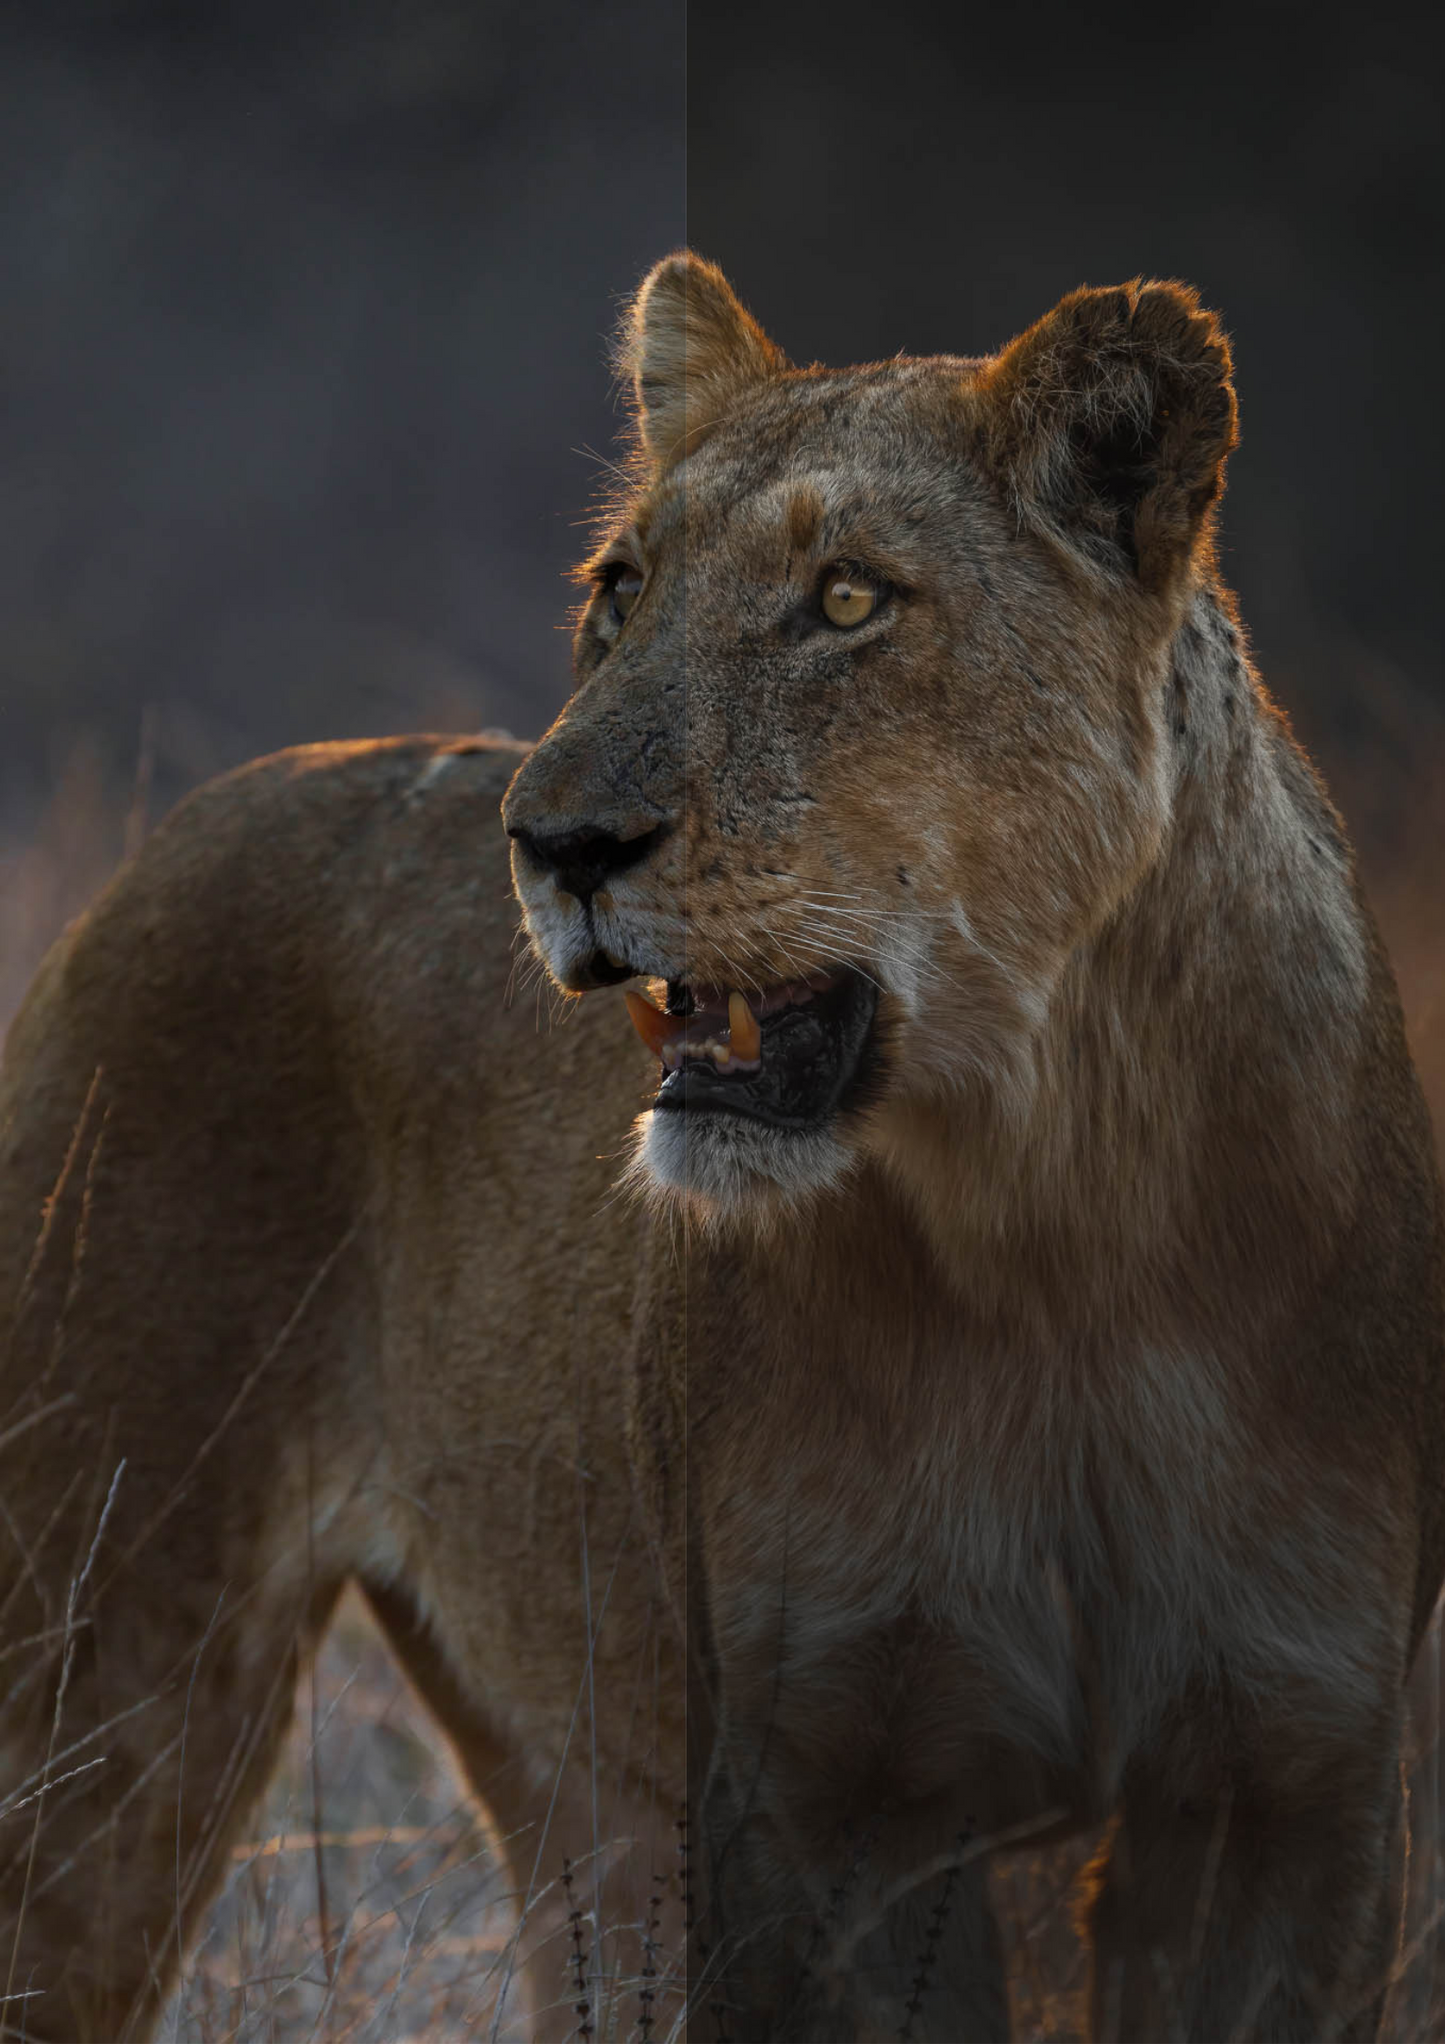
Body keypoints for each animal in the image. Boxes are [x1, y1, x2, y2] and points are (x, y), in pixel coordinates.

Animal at [1, 253, 1441, 2043]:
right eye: (620, 589)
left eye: (846, 602)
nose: (552, 842)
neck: (1061, 1229)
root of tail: (194, 815)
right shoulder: (832, 1780)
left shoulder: (1296, 1779)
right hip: (104, 1648)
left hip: (585, 1789)